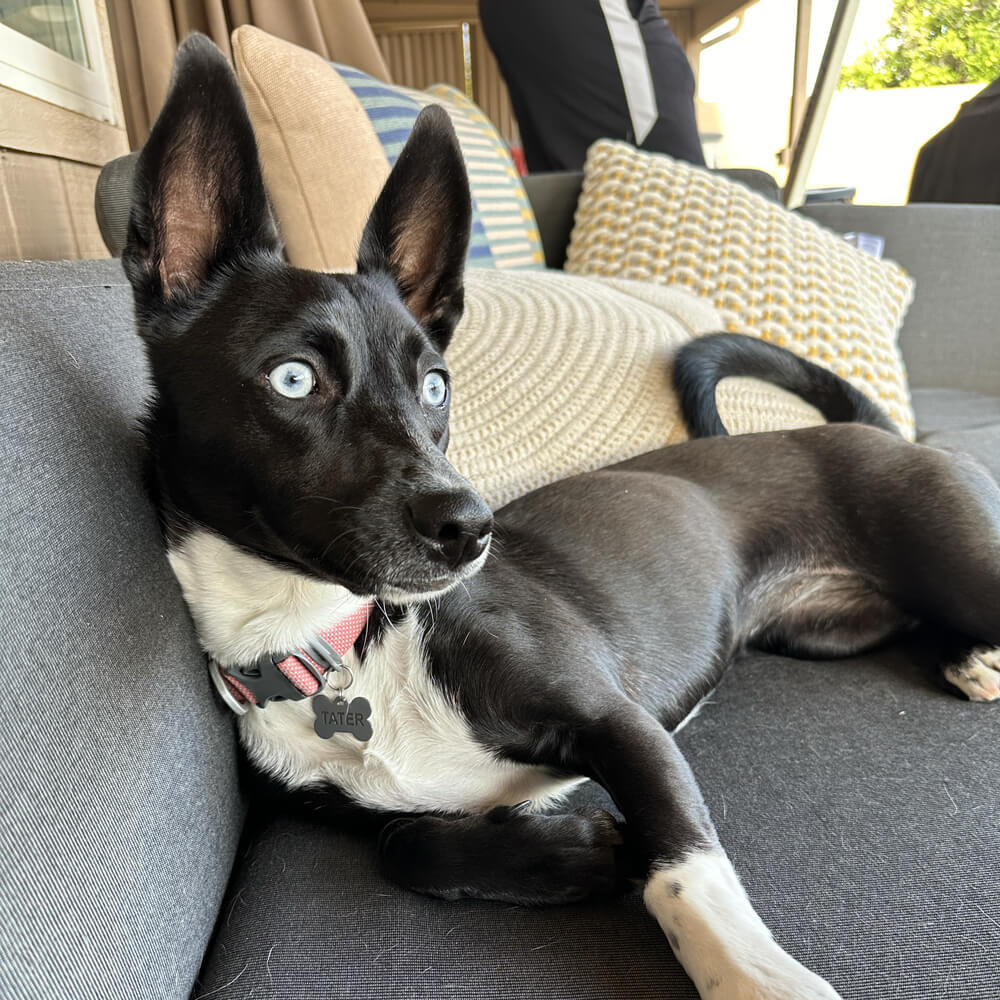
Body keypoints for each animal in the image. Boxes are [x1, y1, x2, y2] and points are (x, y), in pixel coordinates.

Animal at [125, 33, 1000, 1000]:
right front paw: (580, 851)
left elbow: (681, 865)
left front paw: (753, 973)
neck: (342, 644)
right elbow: (407, 842)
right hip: (826, 630)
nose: (472, 528)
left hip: (959, 559)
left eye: (436, 385)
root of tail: (870, 429)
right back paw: (968, 658)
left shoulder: (625, 728)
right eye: (293, 379)